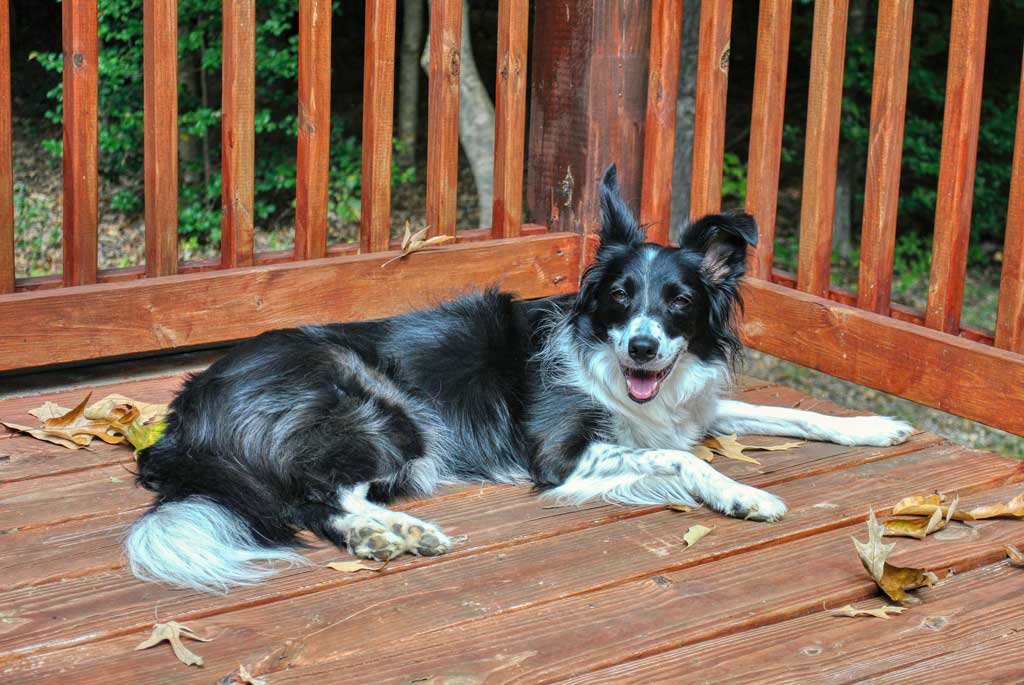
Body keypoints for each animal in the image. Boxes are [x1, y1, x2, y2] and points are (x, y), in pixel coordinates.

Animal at [128, 162, 913, 589]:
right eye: (620, 296)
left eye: (679, 303)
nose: (643, 348)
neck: (606, 360)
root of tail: (187, 408)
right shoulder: (562, 456)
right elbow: (680, 459)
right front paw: (743, 493)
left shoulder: (688, 405)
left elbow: (789, 413)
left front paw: (873, 426)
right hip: (384, 410)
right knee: (313, 495)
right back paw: (392, 534)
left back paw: (397, 533)